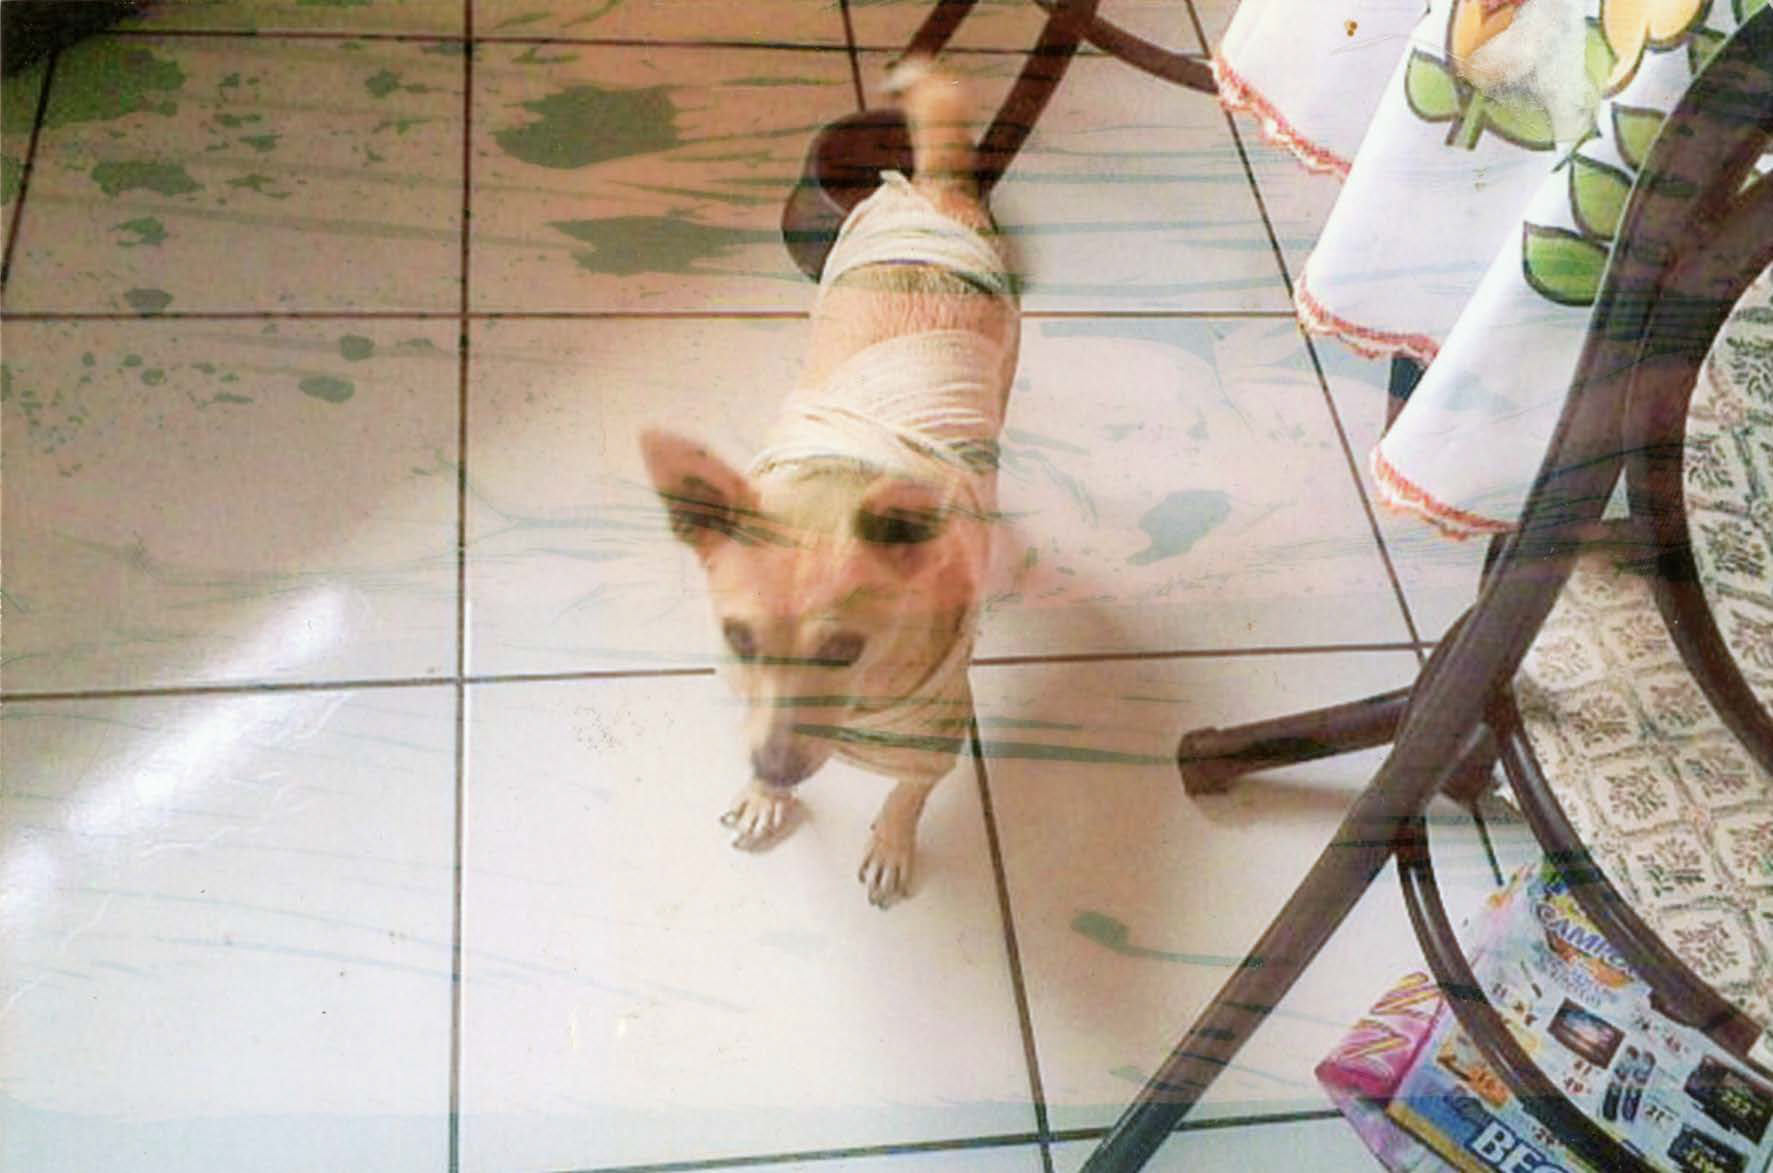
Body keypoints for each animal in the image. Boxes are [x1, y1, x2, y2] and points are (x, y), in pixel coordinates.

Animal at [640, 58, 1019, 908]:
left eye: (844, 648)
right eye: (737, 637)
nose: (774, 770)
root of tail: (933, 189)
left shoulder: (935, 731)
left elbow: (906, 791)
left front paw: (890, 843)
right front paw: (764, 798)